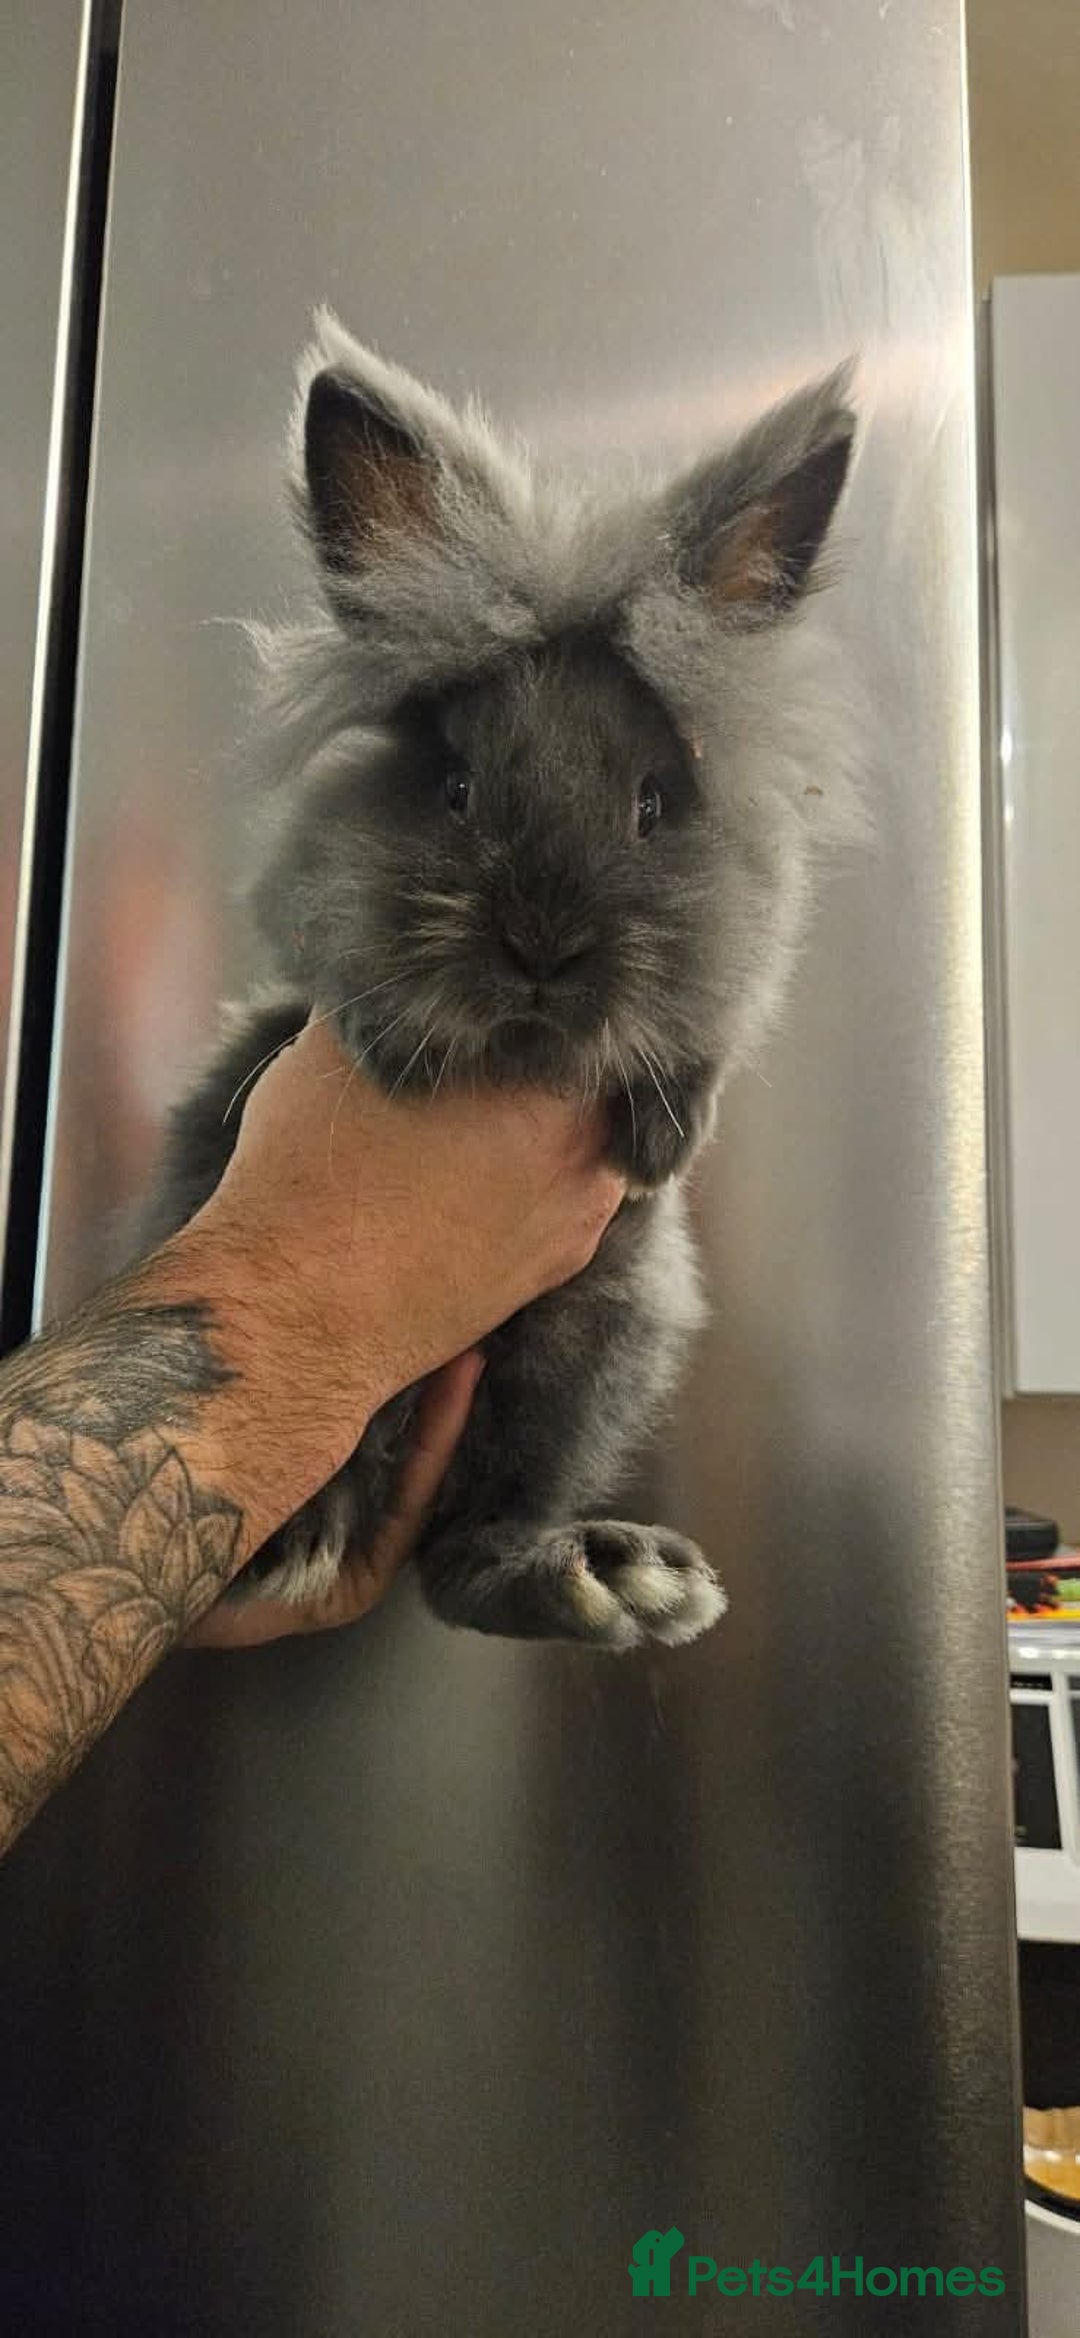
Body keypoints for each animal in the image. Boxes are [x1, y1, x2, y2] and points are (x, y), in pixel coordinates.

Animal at [140, 312, 859, 1650]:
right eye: (457, 787)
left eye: (653, 803)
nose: (541, 945)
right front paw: (389, 1051)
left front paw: (667, 1137)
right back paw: (290, 1546)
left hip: (593, 1347)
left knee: (468, 1551)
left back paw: (605, 1575)